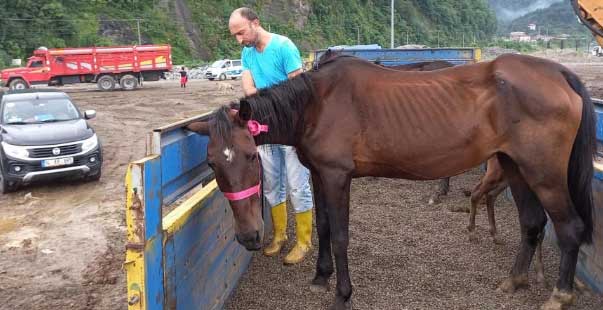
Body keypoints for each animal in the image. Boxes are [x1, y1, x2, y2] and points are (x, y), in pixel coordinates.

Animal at [188, 52, 596, 308]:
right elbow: (323, 227)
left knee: (570, 228)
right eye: (212, 163)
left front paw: (342, 294)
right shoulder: (319, 174)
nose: (249, 237)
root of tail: (559, 74)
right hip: (514, 167)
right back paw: (514, 281)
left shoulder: (337, 177)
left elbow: (340, 235)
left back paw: (559, 296)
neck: (316, 103)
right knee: (532, 223)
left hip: (543, 173)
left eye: (251, 156)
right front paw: (320, 277)